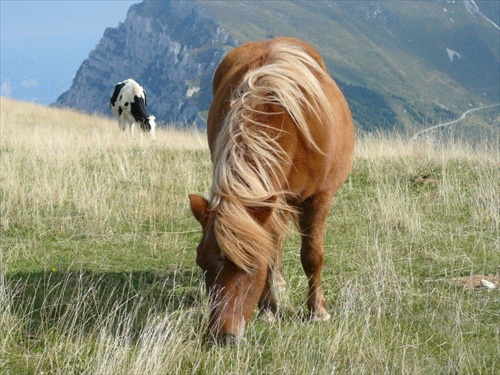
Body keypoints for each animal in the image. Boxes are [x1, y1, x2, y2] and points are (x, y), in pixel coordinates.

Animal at [188, 37, 356, 344]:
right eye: (202, 264)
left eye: (251, 267)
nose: (222, 336)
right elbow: (270, 248)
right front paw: (269, 308)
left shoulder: (319, 198)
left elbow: (312, 255)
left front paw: (317, 311)